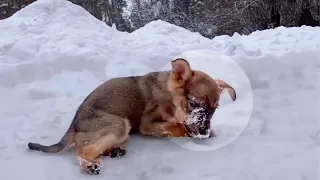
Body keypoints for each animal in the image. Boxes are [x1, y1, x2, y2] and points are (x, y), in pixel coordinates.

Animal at [27, 57, 236, 174]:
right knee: (84, 150)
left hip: (121, 132)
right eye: (193, 104)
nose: (205, 132)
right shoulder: (147, 124)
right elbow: (175, 126)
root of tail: (73, 126)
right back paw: (90, 165)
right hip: (120, 124)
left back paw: (113, 152)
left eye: (215, 109)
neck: (170, 96)